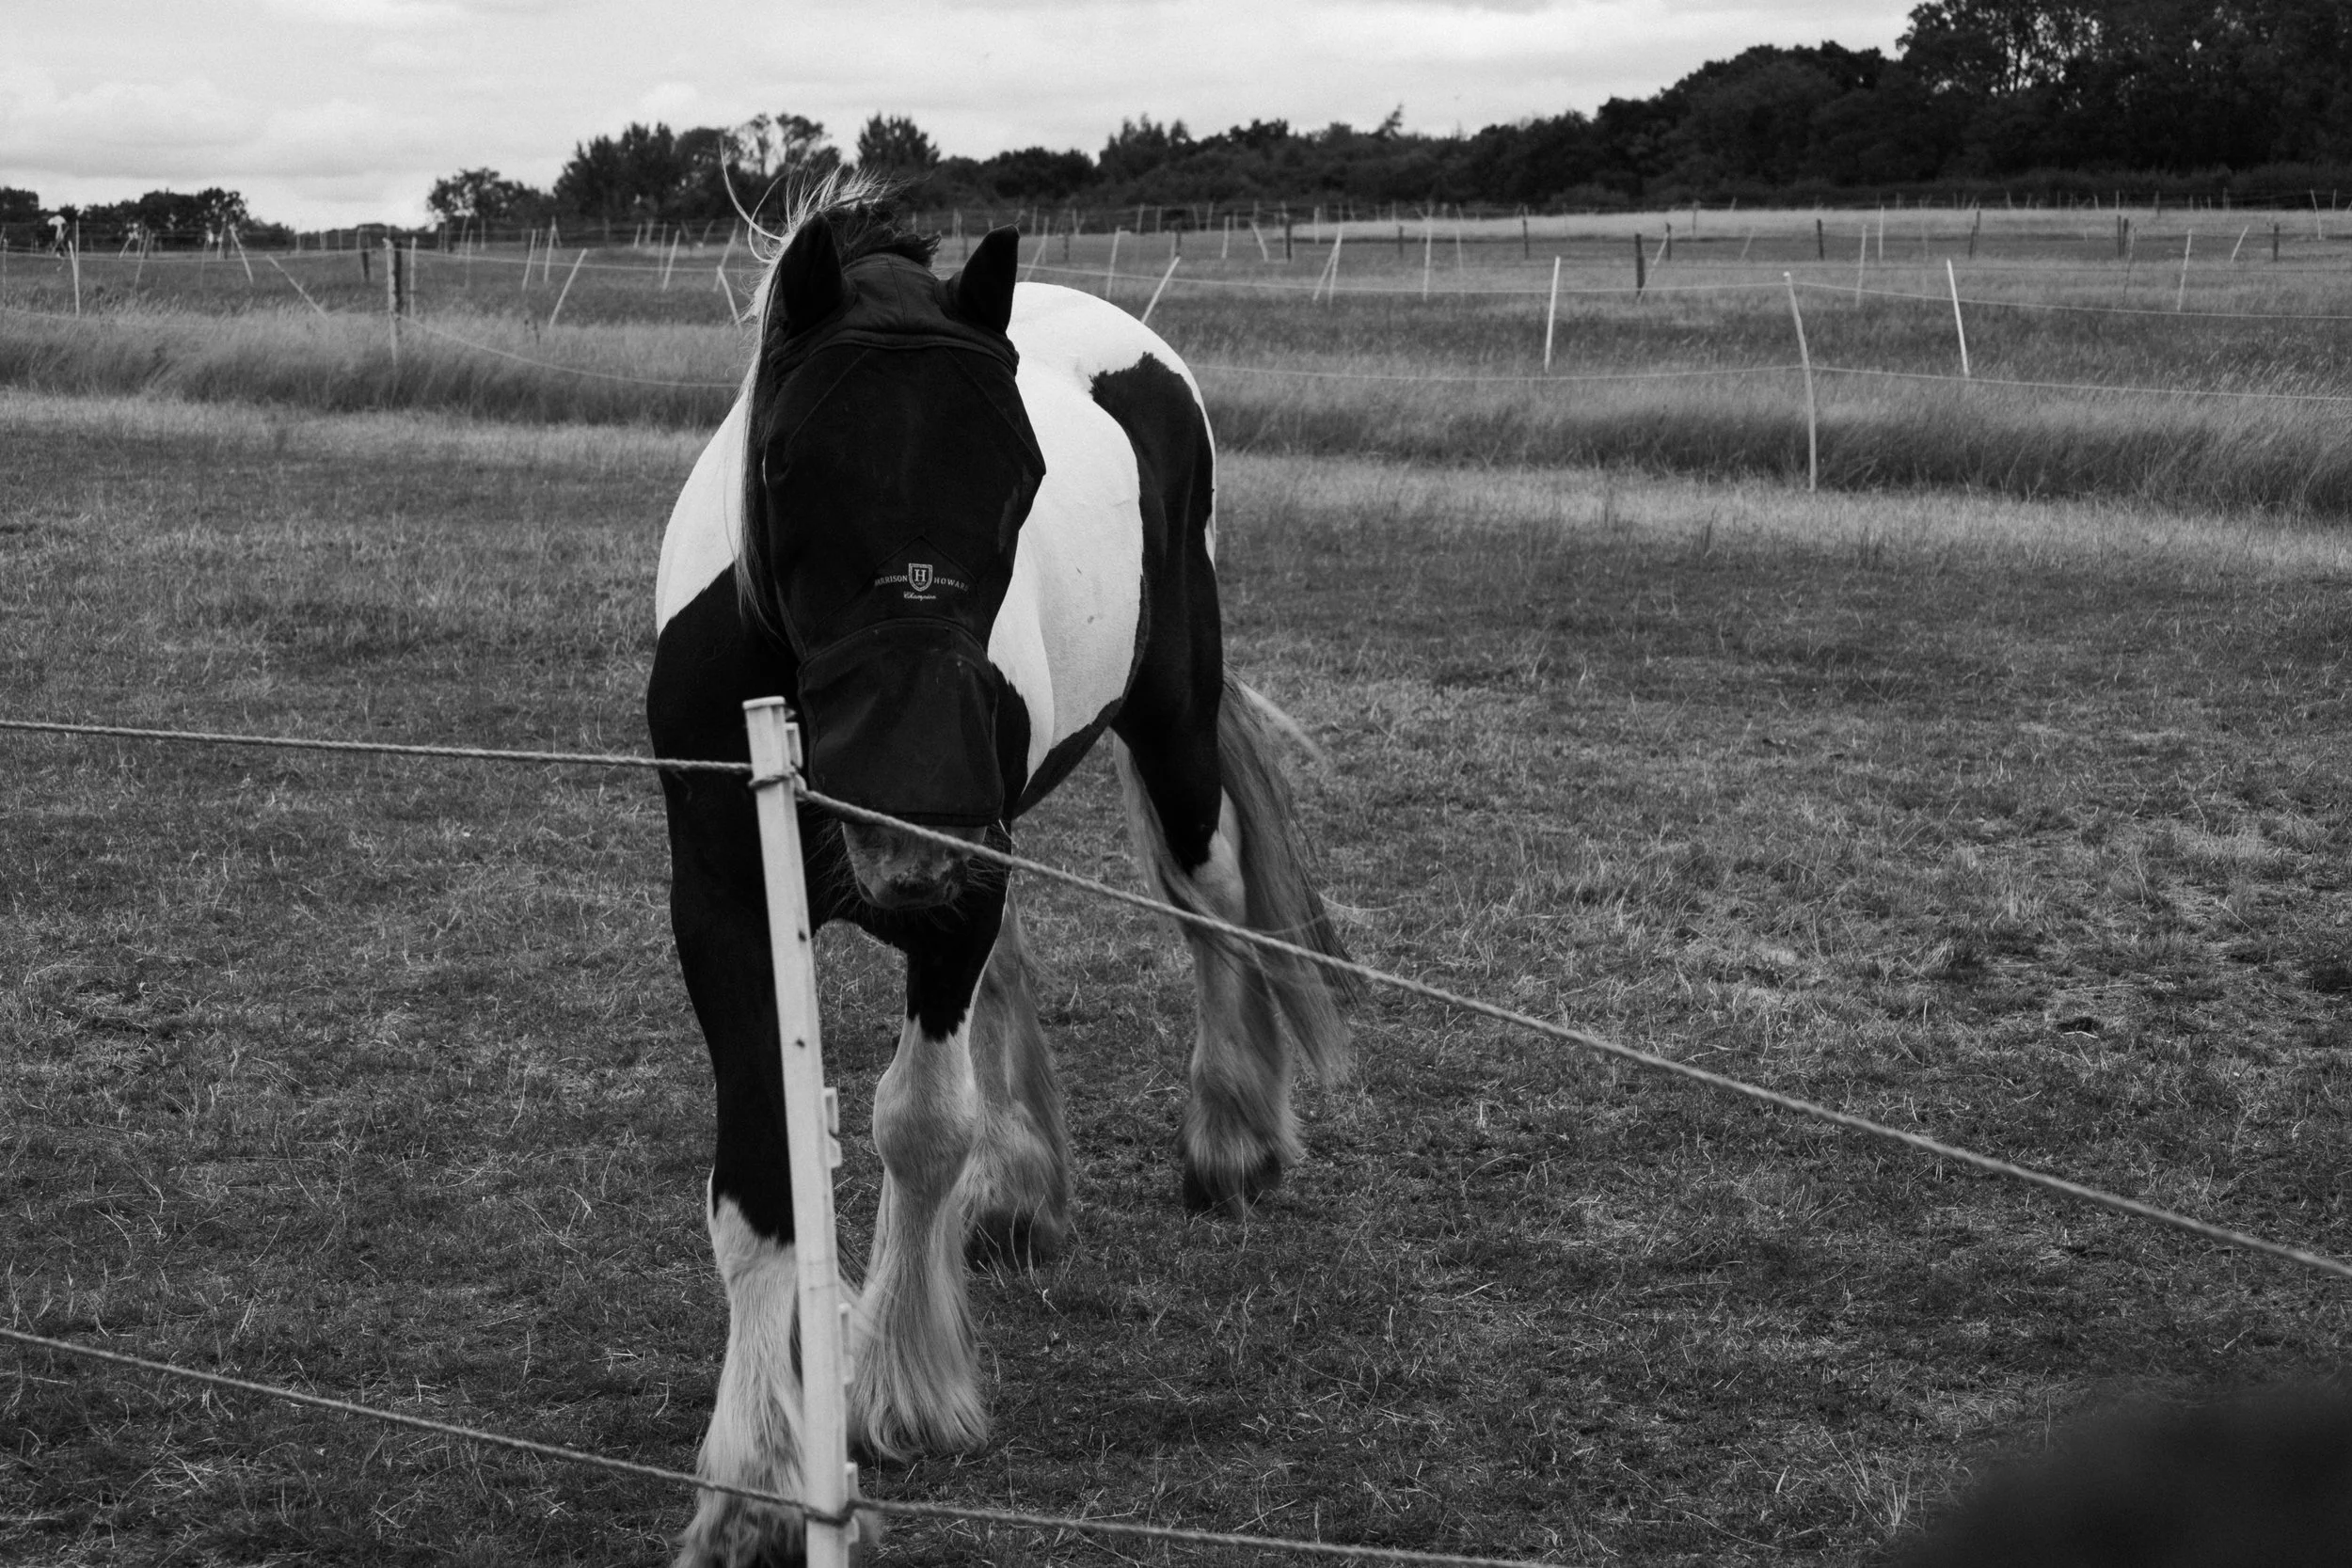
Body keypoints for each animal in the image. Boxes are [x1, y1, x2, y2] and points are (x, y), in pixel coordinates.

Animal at [645, 176, 1355, 1567]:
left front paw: (900, 1388)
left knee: (1211, 903)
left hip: (1168, 725)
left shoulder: (958, 874)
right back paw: (1022, 1189)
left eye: (1023, 474)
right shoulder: (725, 904)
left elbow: (918, 1126)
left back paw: (1233, 1136)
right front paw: (753, 1480)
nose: (904, 817)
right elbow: (761, 1175)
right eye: (788, 463)